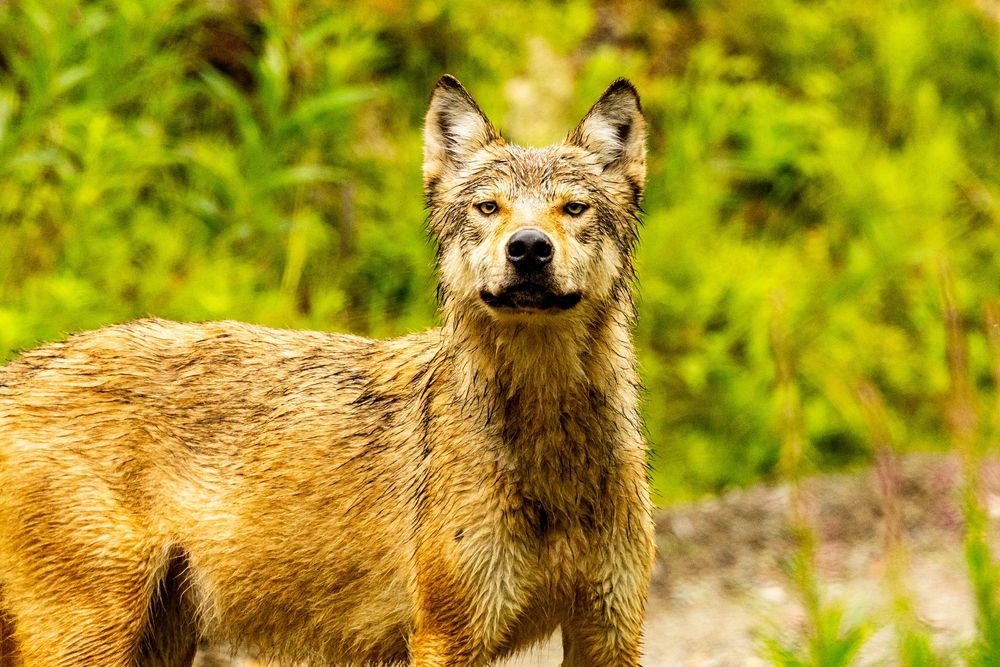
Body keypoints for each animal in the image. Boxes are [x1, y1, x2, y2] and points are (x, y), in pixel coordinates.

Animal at [0, 75, 654, 666]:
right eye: (488, 207)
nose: (528, 247)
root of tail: (17, 369)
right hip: (92, 636)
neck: (551, 448)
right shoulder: (448, 637)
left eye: (574, 208)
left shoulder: (610, 633)